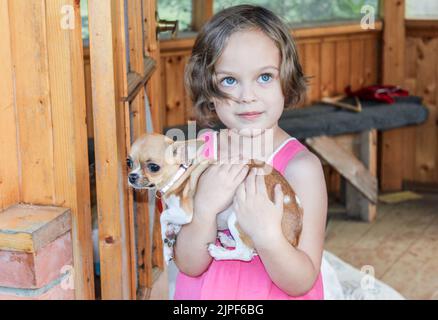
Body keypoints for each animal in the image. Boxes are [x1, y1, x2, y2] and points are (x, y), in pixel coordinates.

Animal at [127, 131, 302, 264]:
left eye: (153, 167)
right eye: (128, 162)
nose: (131, 176)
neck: (180, 174)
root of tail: (294, 234)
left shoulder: (185, 213)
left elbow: (163, 217)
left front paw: (166, 242)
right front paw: (170, 238)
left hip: (237, 217)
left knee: (245, 252)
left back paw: (218, 251)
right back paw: (227, 240)